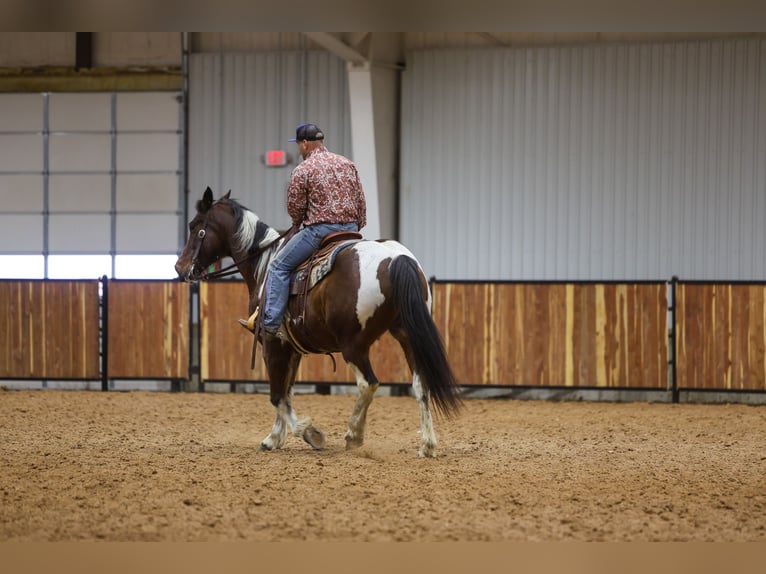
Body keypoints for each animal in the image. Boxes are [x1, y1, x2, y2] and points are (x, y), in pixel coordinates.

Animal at [175, 186, 462, 457]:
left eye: (196, 227)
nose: (180, 268)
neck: (265, 267)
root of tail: (395, 259)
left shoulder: (272, 343)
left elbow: (277, 395)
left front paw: (309, 433)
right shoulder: (292, 348)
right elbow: (287, 391)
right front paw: (274, 438)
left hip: (354, 345)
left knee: (368, 383)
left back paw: (354, 435)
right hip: (407, 335)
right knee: (420, 385)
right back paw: (427, 444)